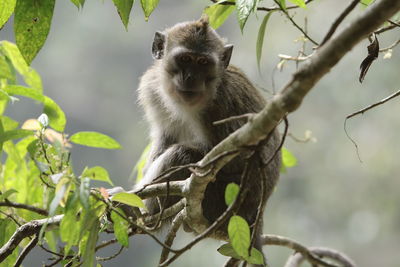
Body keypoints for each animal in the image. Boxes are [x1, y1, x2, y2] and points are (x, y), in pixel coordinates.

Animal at [135, 15, 282, 267]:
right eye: (185, 59)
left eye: (203, 62)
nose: (190, 78)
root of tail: (256, 217)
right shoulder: (152, 88)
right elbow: (164, 139)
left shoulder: (221, 104)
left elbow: (243, 160)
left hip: (223, 207)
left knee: (182, 155)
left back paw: (144, 215)